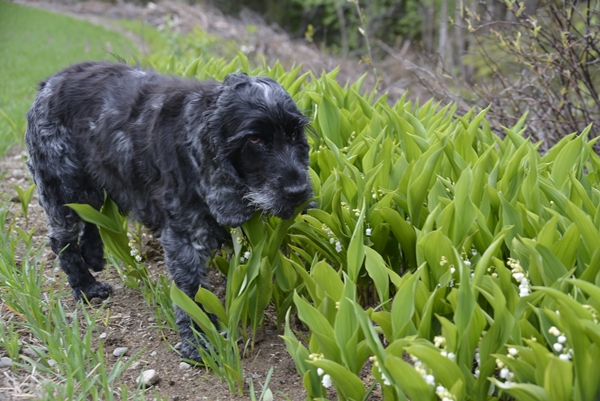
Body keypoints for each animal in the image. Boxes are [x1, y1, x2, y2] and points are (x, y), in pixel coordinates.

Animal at [24, 61, 314, 360]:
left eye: (295, 133)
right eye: (254, 139)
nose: (299, 191)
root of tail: (51, 81)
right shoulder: (184, 238)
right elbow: (192, 292)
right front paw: (199, 342)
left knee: (90, 218)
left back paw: (93, 256)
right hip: (63, 185)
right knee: (61, 238)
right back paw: (86, 287)